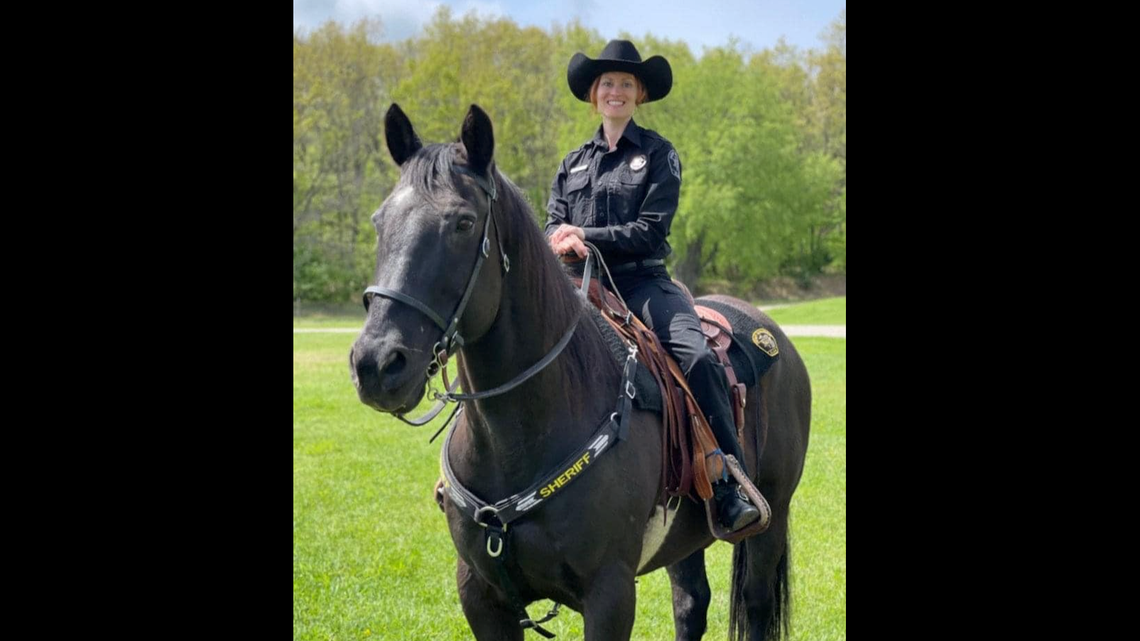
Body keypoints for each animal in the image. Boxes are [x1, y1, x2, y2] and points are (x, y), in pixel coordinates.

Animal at [350, 103, 811, 640]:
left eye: (463, 223)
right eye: (379, 221)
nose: (377, 363)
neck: (523, 434)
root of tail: (769, 332)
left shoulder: (610, 593)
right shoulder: (480, 596)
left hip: (772, 515)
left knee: (756, 603)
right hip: (687, 536)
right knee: (691, 603)